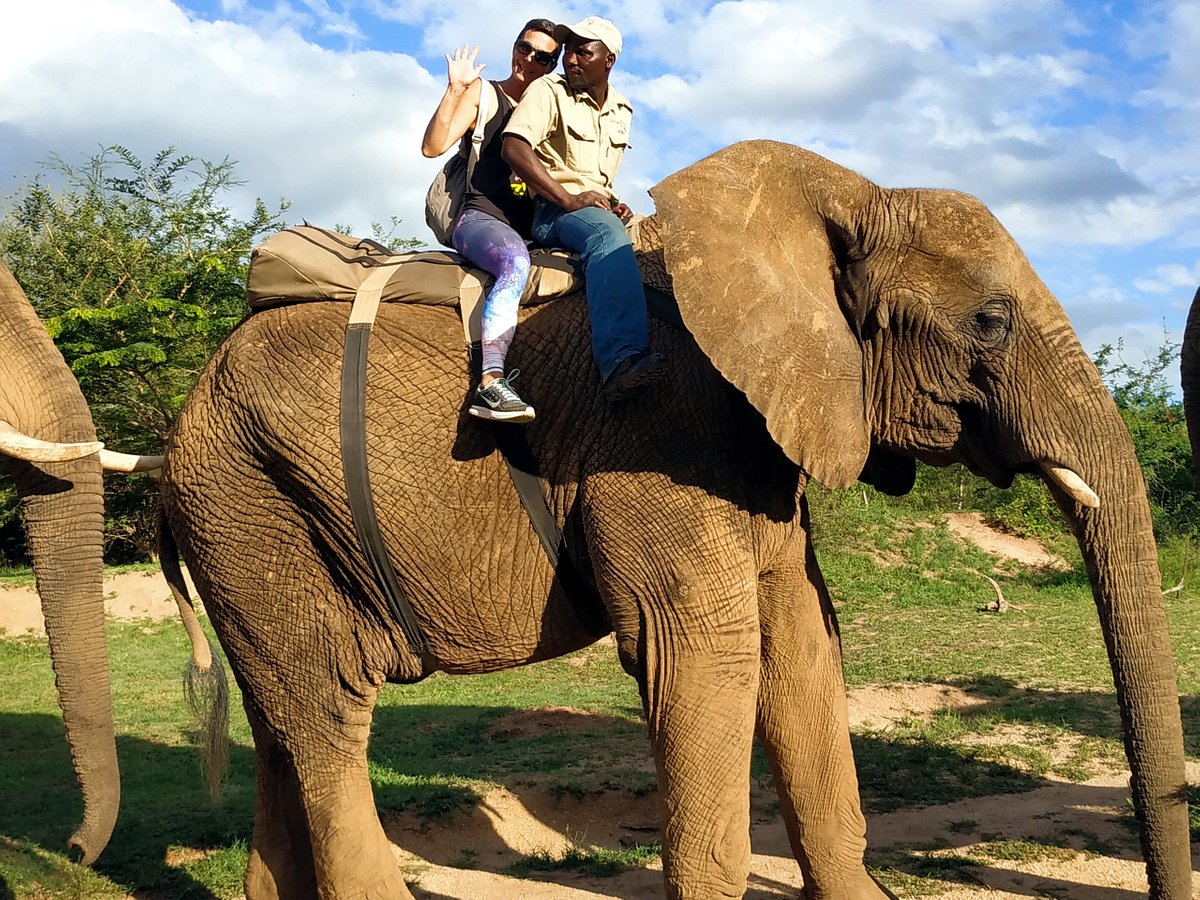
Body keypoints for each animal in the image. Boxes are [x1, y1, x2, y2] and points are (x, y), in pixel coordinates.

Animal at [160, 140, 1191, 899]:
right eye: (988, 321)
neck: (833, 199)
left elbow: (803, 640)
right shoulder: (656, 431)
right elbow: (706, 653)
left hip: (250, 517)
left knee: (285, 721)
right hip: (249, 497)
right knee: (328, 716)